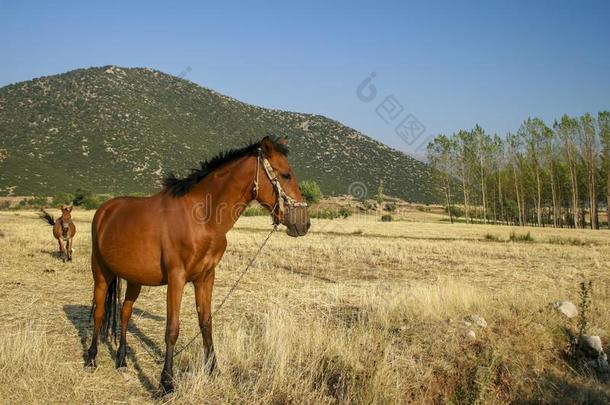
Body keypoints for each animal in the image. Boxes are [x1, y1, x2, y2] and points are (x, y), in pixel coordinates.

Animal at [85, 136, 308, 392]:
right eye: (286, 175)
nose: (304, 223)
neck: (201, 217)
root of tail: (105, 210)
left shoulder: (205, 278)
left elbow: (206, 323)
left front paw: (214, 370)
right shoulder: (177, 278)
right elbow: (172, 329)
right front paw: (167, 382)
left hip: (134, 279)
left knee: (124, 313)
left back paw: (121, 360)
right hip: (101, 273)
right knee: (99, 312)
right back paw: (91, 358)